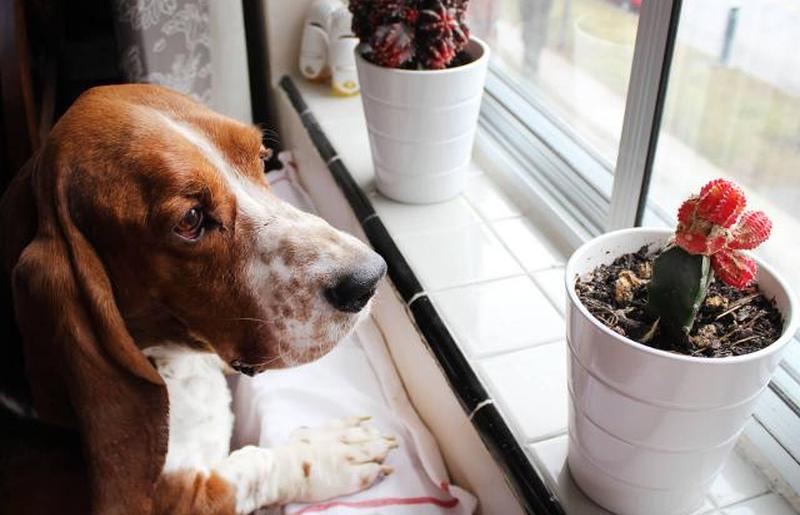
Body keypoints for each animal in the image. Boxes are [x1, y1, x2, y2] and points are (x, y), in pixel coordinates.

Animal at [0, 84, 395, 514]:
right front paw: (328, 452)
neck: (172, 364)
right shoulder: (188, 497)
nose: (369, 278)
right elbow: (254, 465)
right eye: (190, 220)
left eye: (262, 157)